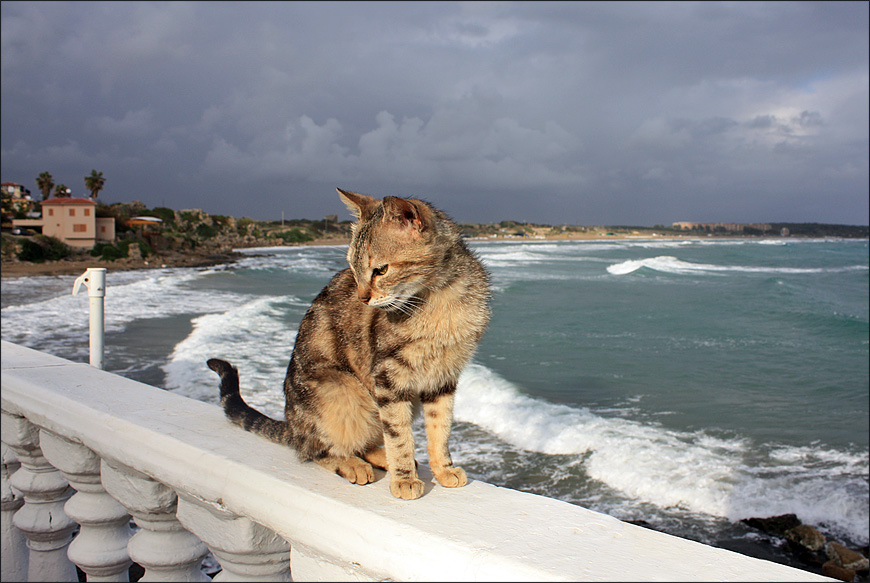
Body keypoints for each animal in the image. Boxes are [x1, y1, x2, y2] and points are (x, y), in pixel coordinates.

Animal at [205, 189, 490, 500]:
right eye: (354, 268)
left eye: (380, 270)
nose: (362, 297)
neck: (438, 299)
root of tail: (293, 426)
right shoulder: (388, 378)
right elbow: (398, 434)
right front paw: (404, 478)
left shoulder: (443, 377)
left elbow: (441, 427)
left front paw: (443, 469)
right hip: (342, 391)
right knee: (315, 450)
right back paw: (352, 464)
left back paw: (378, 457)